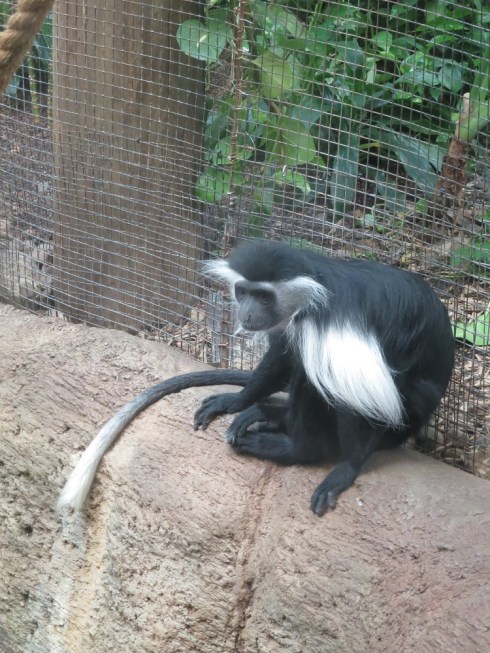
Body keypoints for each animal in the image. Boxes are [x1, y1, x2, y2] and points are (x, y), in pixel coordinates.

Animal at [58, 240, 454, 516]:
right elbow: (281, 356)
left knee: (320, 379)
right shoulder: (292, 323)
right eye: (244, 292)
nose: (247, 314)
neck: (314, 288)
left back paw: (293, 445)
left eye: (264, 296)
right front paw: (237, 400)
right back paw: (268, 414)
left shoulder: (330, 323)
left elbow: (358, 392)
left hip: (400, 416)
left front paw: (345, 469)